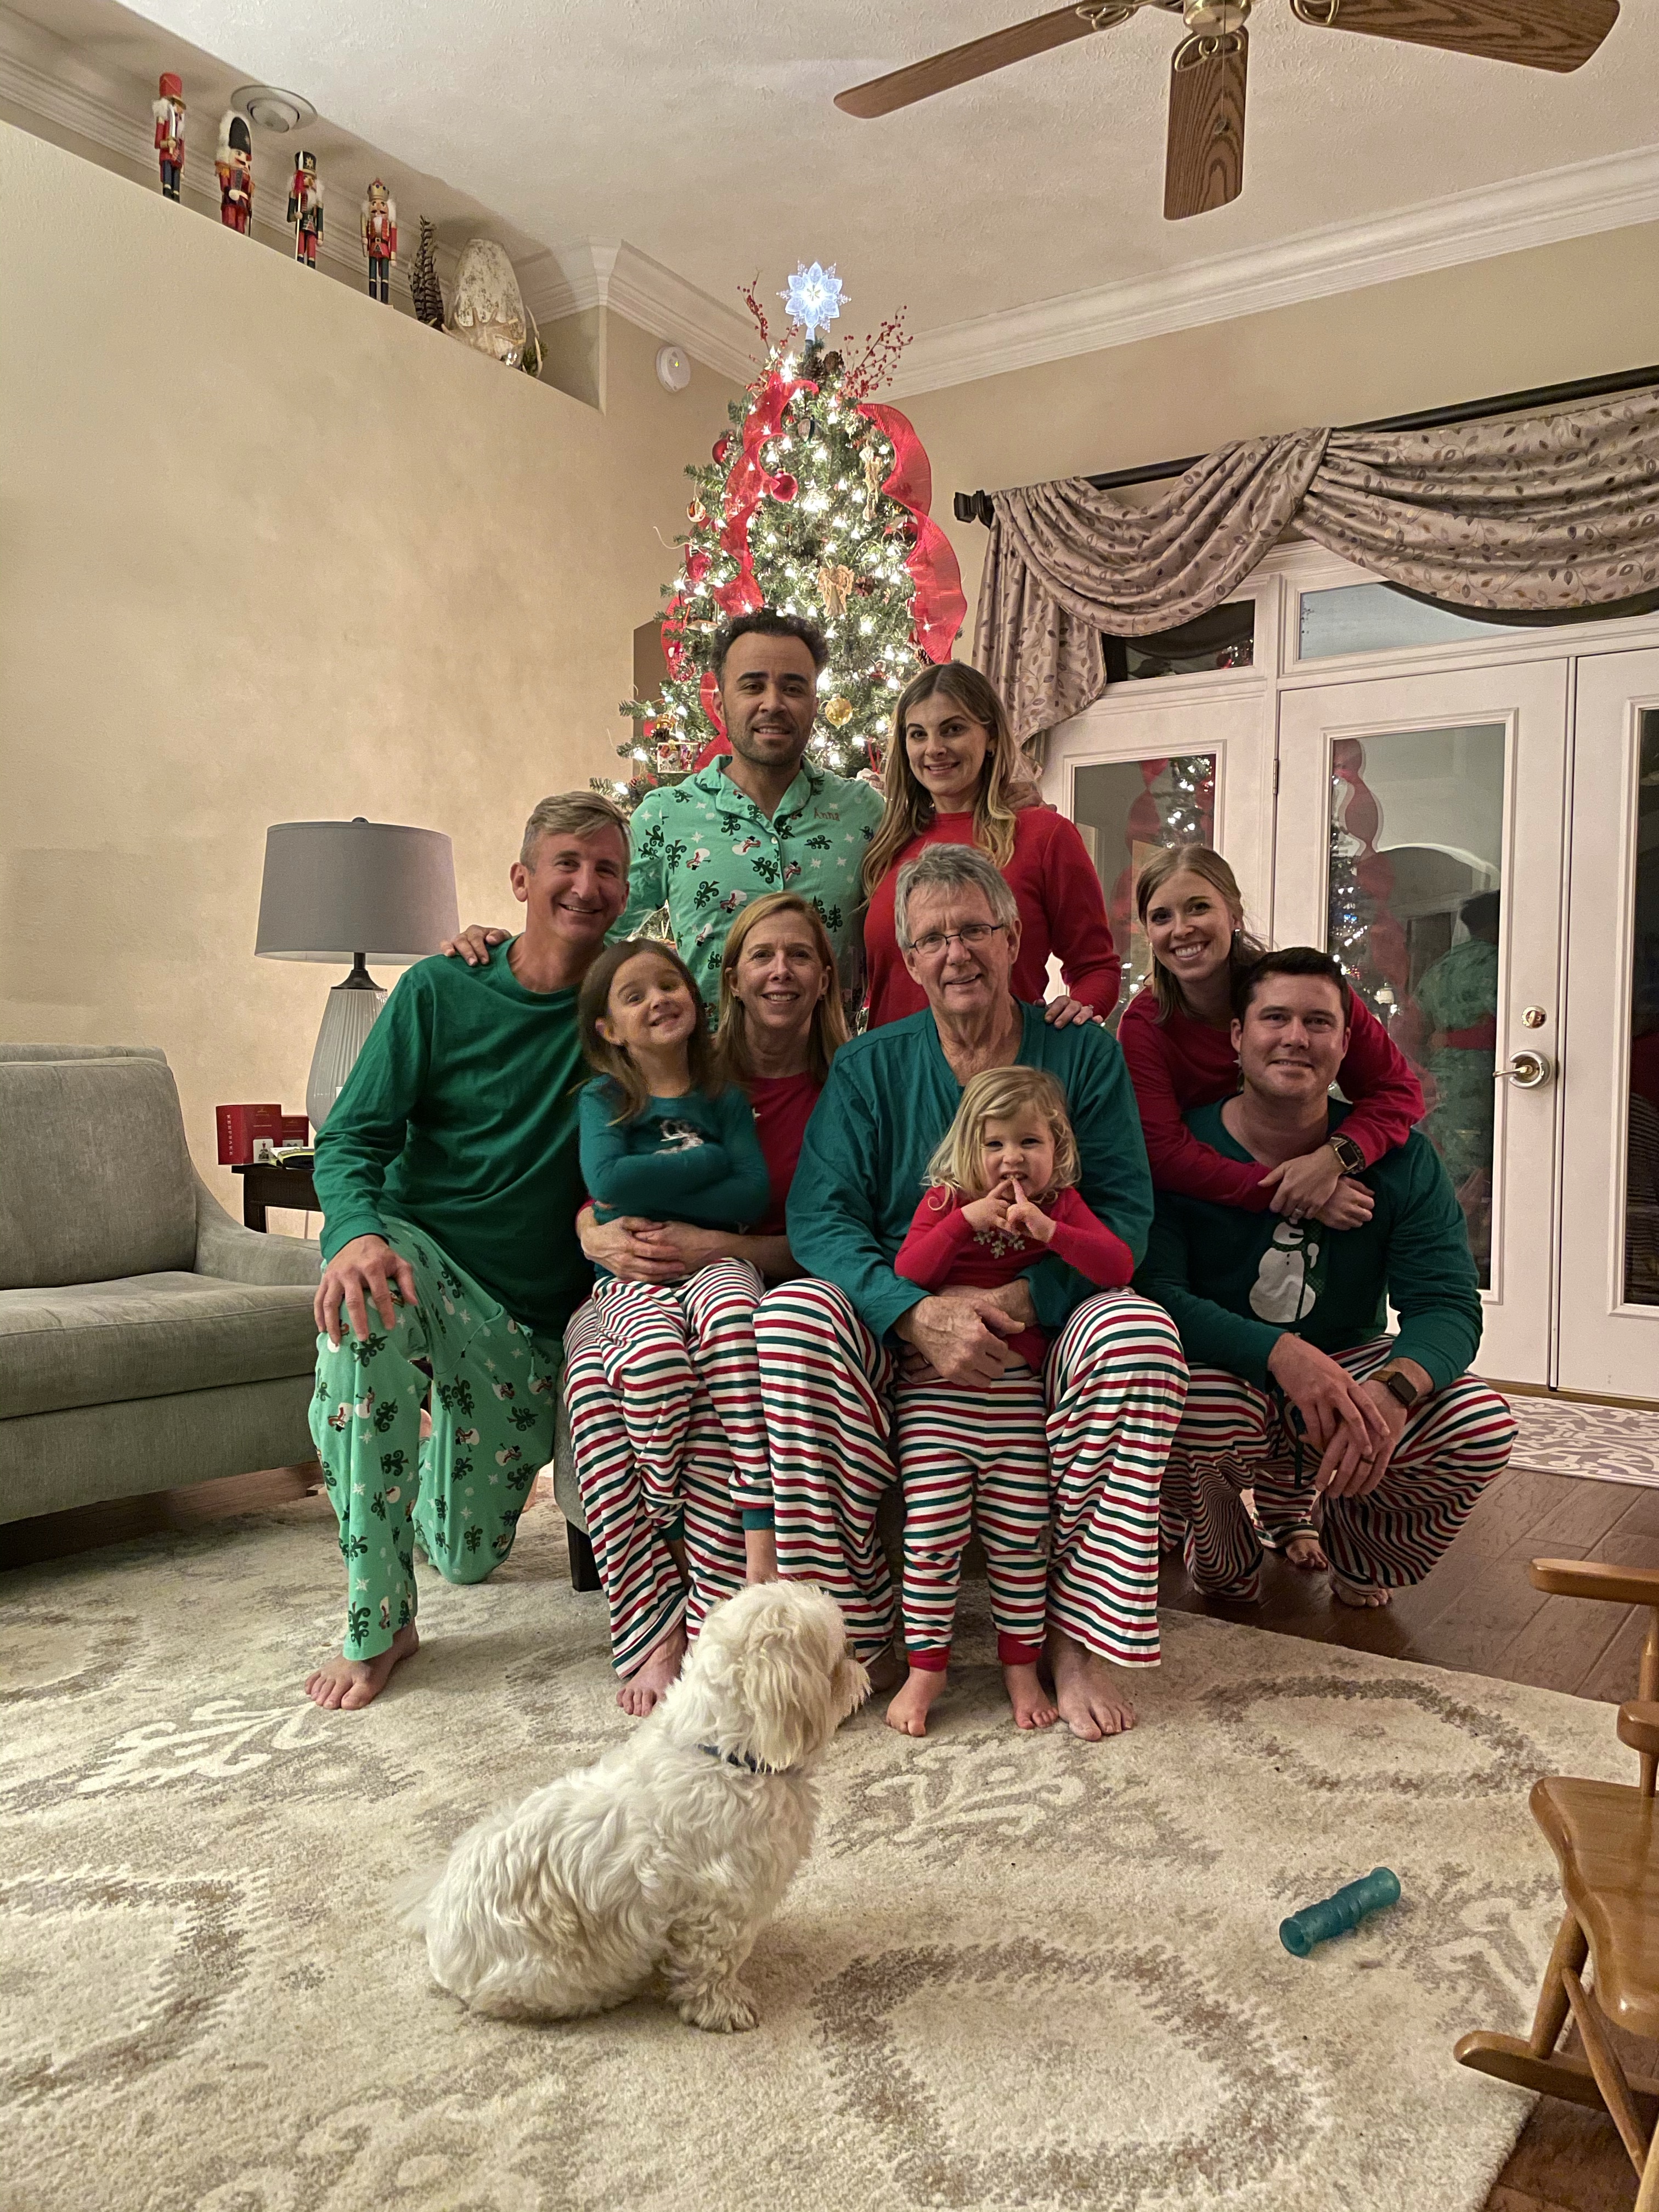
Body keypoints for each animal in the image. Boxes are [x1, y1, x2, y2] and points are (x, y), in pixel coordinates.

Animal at [399, 1580, 869, 2032]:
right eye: (834, 1652)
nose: (855, 1650)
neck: (723, 1756)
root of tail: (438, 1916)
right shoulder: (717, 1909)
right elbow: (711, 1968)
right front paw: (724, 2008)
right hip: (550, 1972)